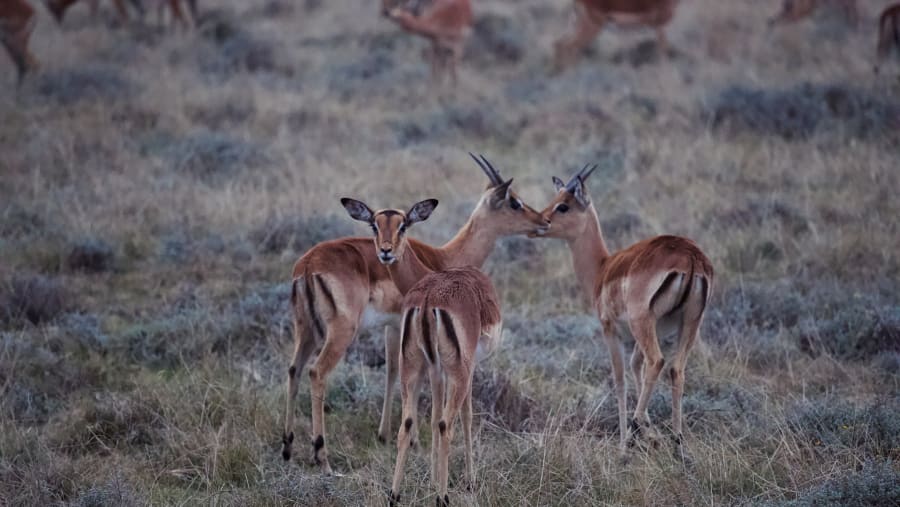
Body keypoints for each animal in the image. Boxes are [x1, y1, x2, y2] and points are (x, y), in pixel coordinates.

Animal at [281, 154, 549, 475]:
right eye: (515, 202)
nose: (544, 221)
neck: (444, 258)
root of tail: (308, 264)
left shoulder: (393, 327)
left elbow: (392, 372)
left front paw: (385, 435)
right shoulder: (404, 329)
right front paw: (413, 443)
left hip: (305, 329)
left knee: (294, 369)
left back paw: (287, 447)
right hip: (341, 331)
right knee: (316, 371)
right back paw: (322, 456)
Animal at [342, 197, 500, 506]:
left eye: (402, 225)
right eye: (374, 225)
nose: (385, 251)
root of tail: (428, 301)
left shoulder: (434, 369)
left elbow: (431, 414)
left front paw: (432, 478)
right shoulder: (468, 367)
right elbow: (465, 416)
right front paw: (467, 482)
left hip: (411, 367)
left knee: (407, 424)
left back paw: (394, 494)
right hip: (457, 372)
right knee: (446, 424)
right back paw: (443, 498)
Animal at [531, 164, 713, 460]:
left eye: (563, 206)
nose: (540, 223)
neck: (602, 267)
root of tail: (691, 257)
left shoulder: (610, 329)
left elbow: (620, 378)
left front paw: (628, 442)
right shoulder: (652, 329)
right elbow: (635, 366)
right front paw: (651, 434)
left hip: (644, 322)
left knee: (657, 362)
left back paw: (636, 429)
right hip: (689, 323)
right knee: (675, 369)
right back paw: (678, 445)